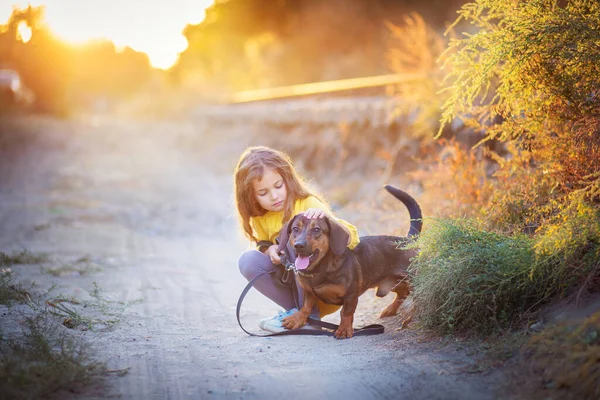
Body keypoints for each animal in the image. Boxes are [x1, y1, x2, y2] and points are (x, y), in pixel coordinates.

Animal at [276, 184, 422, 338]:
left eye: (316, 229)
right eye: (295, 229)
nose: (299, 245)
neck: (319, 270)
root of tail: (407, 240)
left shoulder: (351, 295)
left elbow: (346, 313)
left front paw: (344, 329)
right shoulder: (308, 292)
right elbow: (306, 307)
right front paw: (297, 319)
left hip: (414, 281)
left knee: (418, 299)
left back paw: (408, 319)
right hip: (393, 282)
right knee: (403, 294)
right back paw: (390, 310)